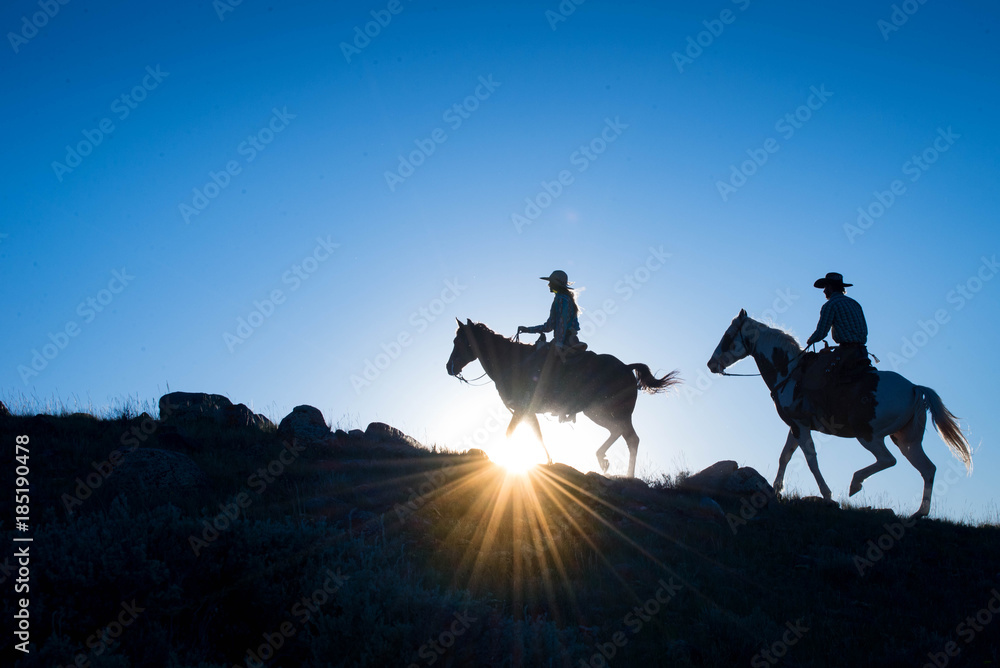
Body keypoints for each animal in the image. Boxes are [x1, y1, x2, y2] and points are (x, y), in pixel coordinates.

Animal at [448, 318, 676, 474]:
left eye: (459, 341)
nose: (449, 367)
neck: (512, 362)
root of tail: (627, 368)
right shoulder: (527, 411)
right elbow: (537, 434)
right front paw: (548, 461)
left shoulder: (521, 408)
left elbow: (511, 433)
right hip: (599, 413)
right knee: (621, 434)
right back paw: (605, 460)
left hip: (611, 412)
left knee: (629, 438)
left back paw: (623, 472)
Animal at [708, 310, 972, 520]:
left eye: (728, 336)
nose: (711, 364)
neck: (789, 372)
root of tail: (915, 388)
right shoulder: (796, 426)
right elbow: (785, 456)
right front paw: (776, 490)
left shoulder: (801, 426)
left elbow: (811, 460)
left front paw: (828, 496)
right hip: (907, 440)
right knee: (927, 469)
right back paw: (920, 512)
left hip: (868, 435)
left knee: (888, 460)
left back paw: (855, 483)